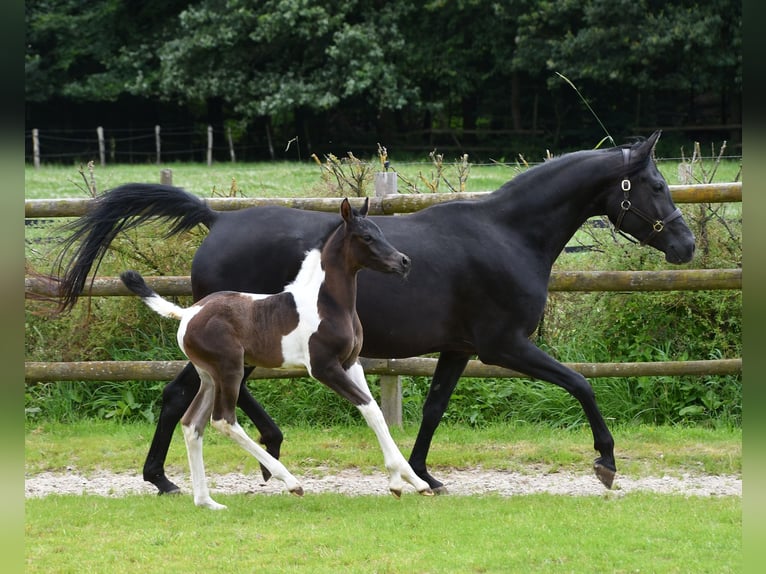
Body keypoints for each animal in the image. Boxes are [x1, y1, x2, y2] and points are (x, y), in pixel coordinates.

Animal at [120, 199, 432, 508]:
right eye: (366, 236)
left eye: (380, 232)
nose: (404, 262)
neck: (327, 303)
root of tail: (187, 313)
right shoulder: (324, 368)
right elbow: (369, 409)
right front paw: (406, 480)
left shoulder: (350, 363)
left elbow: (374, 410)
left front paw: (410, 481)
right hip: (230, 370)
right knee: (223, 420)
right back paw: (289, 481)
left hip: (208, 377)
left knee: (192, 423)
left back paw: (207, 501)